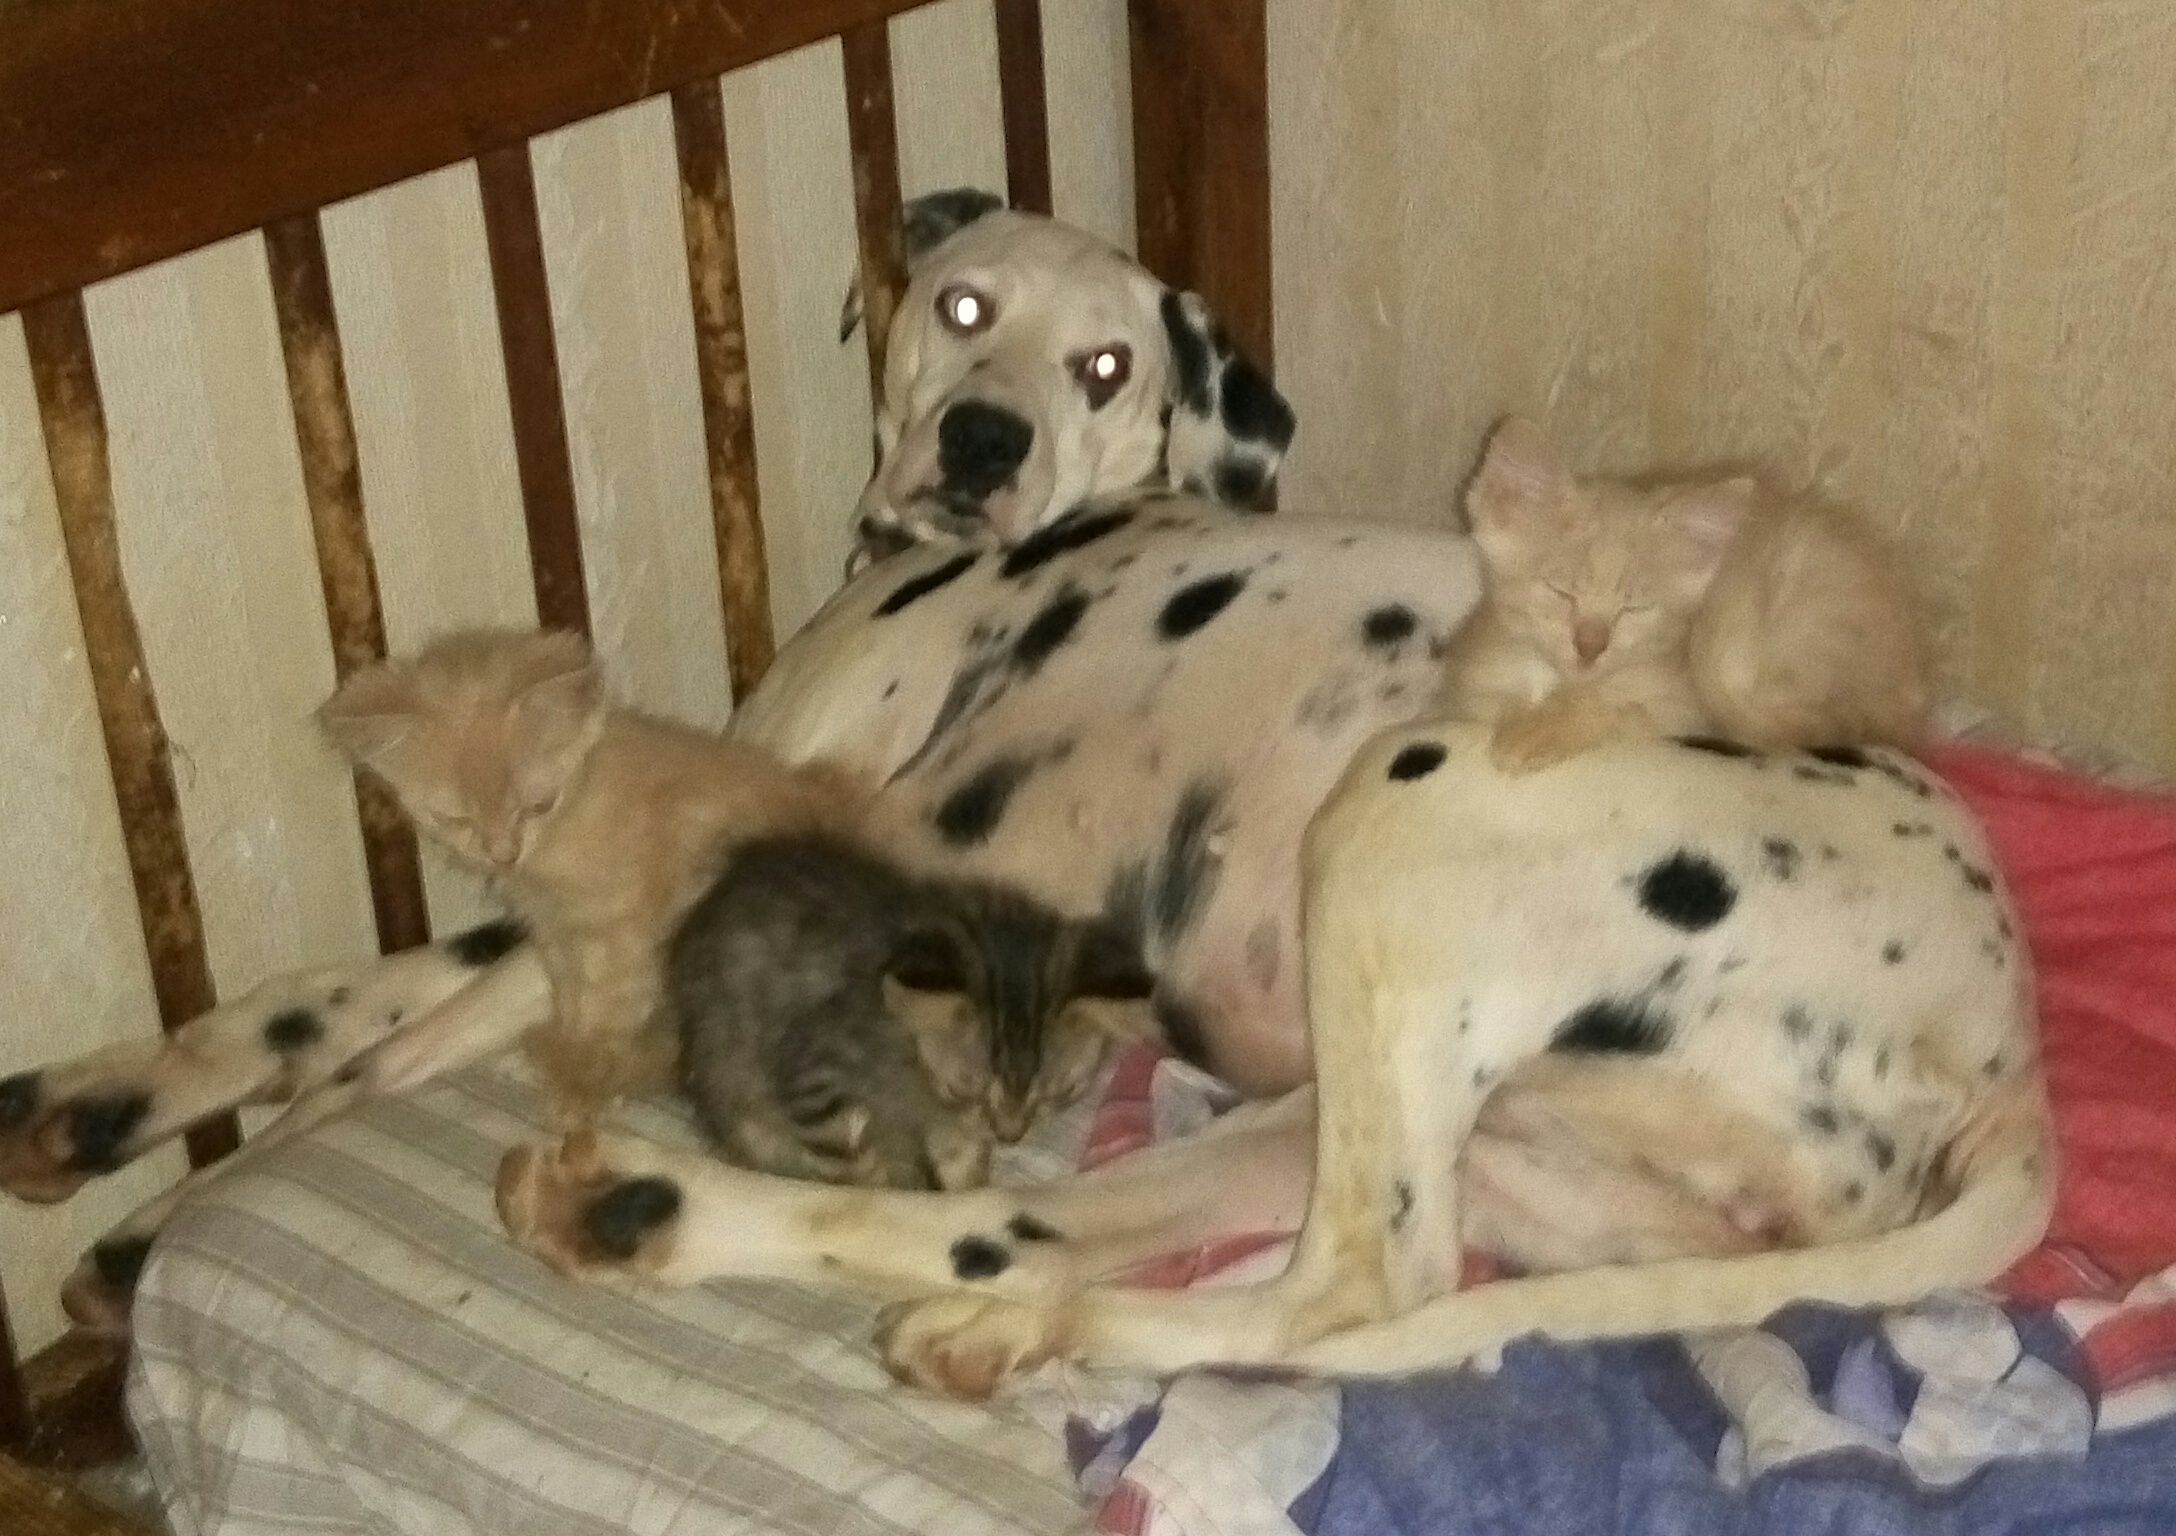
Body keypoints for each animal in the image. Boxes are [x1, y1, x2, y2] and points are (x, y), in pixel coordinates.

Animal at [317, 628, 871, 1129]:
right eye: (456, 819)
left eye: (536, 805)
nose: (504, 854)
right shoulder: (557, 934)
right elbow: (572, 1004)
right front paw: (565, 1060)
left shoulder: (623, 935)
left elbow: (604, 1019)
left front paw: (583, 1093)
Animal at [669, 834, 1155, 1190]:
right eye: (964, 1089)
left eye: (1060, 1093)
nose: (1010, 1136)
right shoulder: (812, 1069)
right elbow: (853, 1162)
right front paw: (889, 1193)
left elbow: (961, 1163)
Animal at [1440, 416, 1930, 771]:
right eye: (1562, 590)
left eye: (1634, 607)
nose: (1590, 647)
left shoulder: (1679, 704)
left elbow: (1619, 710)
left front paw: (1534, 734)